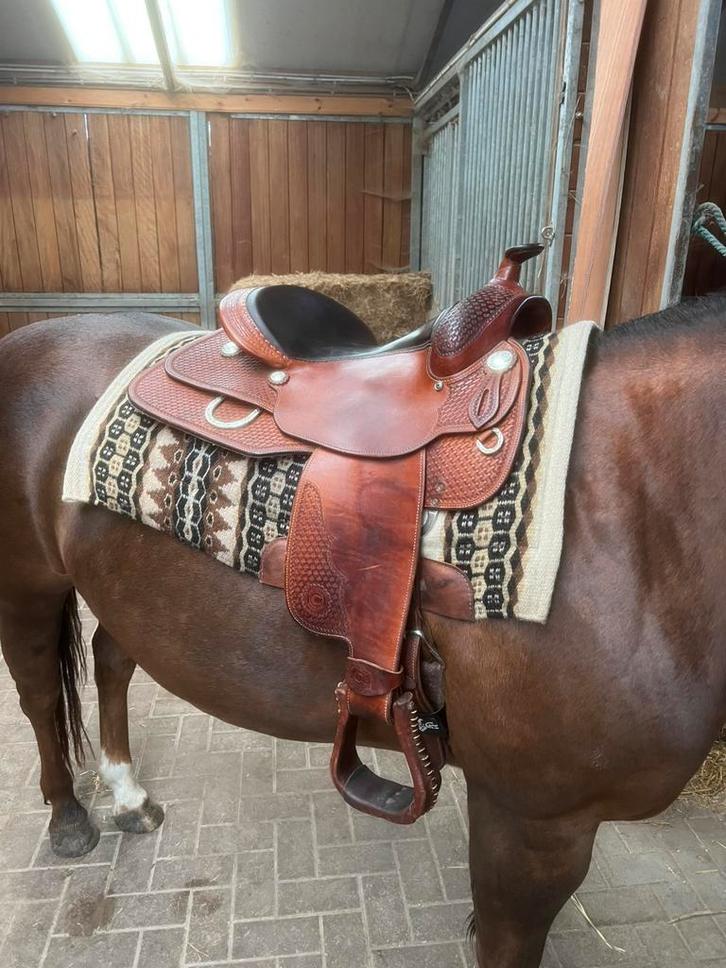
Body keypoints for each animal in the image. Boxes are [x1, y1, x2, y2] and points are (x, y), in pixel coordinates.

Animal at [0, 295, 724, 968]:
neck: (632, 507)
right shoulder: (535, 824)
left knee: (111, 660)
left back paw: (129, 796)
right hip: (29, 585)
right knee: (40, 694)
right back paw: (69, 819)